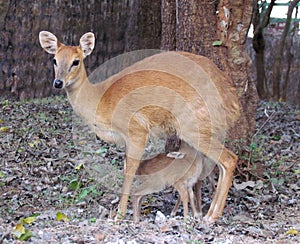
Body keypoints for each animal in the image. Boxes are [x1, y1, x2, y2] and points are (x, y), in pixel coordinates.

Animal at [38, 31, 239, 223]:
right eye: (54, 60)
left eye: (76, 61)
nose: (58, 83)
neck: (101, 100)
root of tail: (230, 96)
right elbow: (127, 168)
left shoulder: (136, 128)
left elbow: (129, 172)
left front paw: (119, 215)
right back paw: (207, 213)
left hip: (192, 124)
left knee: (229, 159)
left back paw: (211, 216)